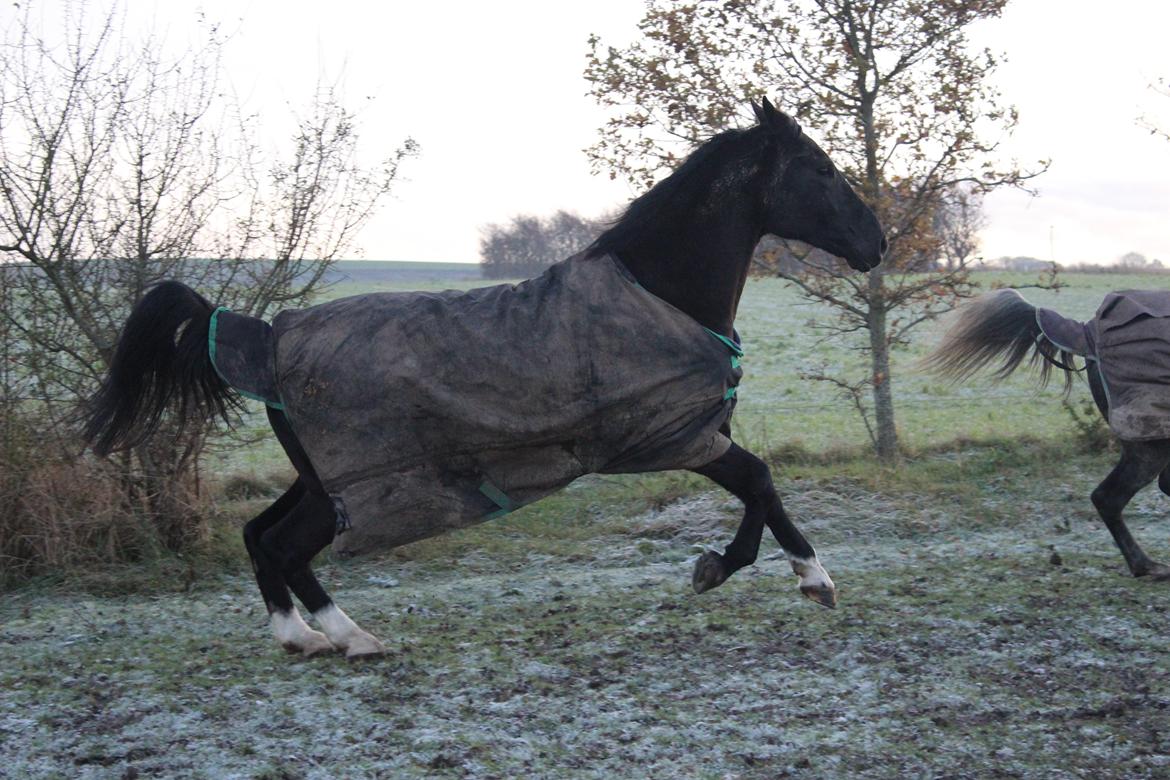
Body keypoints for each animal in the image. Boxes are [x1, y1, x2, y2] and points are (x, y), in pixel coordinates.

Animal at [84, 99, 884, 659]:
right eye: (821, 168)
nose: (875, 243)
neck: (659, 292)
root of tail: (261, 333)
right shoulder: (670, 439)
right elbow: (760, 480)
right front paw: (771, 574)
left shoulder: (693, 435)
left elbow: (762, 489)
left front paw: (770, 572)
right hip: (358, 484)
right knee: (281, 546)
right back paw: (351, 638)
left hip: (323, 481)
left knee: (258, 535)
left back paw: (300, 638)